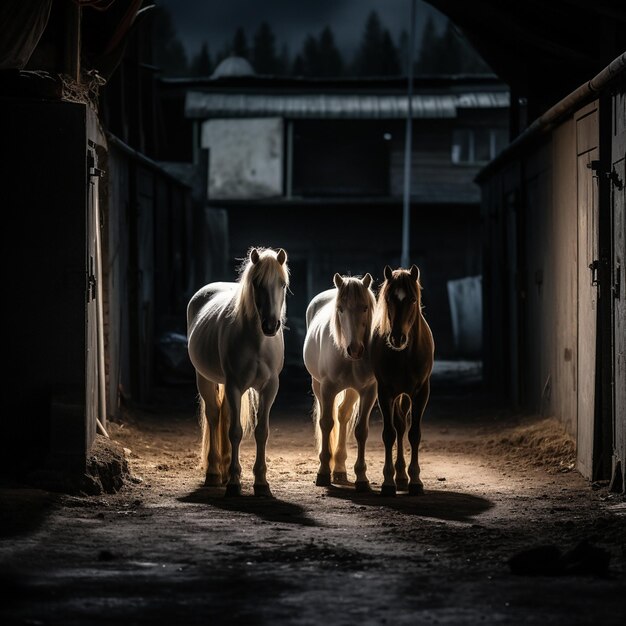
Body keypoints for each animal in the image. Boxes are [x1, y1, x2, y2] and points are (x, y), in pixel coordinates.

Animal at [185, 246, 288, 494]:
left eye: (282, 284)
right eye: (257, 283)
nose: (271, 325)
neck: (258, 342)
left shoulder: (269, 388)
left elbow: (261, 432)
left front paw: (261, 483)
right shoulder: (234, 386)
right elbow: (235, 432)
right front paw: (233, 482)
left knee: (224, 415)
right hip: (205, 378)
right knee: (214, 416)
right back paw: (214, 473)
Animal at [302, 270, 376, 490]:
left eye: (365, 307)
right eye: (340, 309)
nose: (355, 349)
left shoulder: (368, 391)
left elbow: (361, 430)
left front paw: (362, 478)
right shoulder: (328, 389)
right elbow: (326, 423)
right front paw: (323, 473)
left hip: (352, 390)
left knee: (343, 415)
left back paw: (340, 469)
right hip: (317, 385)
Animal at [368, 262, 432, 492]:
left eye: (412, 299)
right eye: (388, 298)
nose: (397, 338)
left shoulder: (421, 393)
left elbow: (414, 434)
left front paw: (415, 480)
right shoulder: (385, 392)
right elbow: (389, 434)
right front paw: (388, 481)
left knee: (403, 426)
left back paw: (404, 477)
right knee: (398, 427)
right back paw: (400, 476)